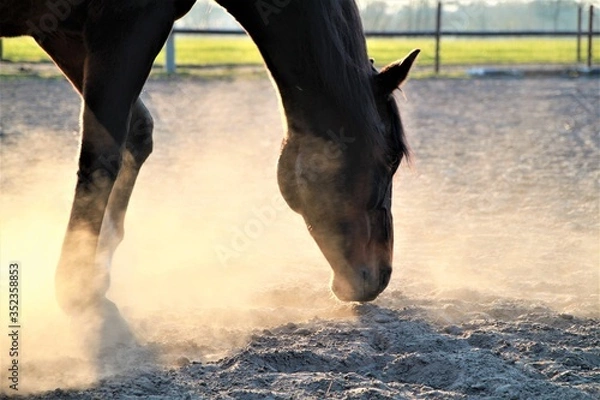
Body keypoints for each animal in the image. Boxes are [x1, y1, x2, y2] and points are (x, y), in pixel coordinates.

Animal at [0, 0, 420, 318]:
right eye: (390, 159)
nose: (381, 276)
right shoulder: (126, 24)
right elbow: (102, 154)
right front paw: (75, 287)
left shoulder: (61, 31)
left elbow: (136, 133)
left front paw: (97, 267)